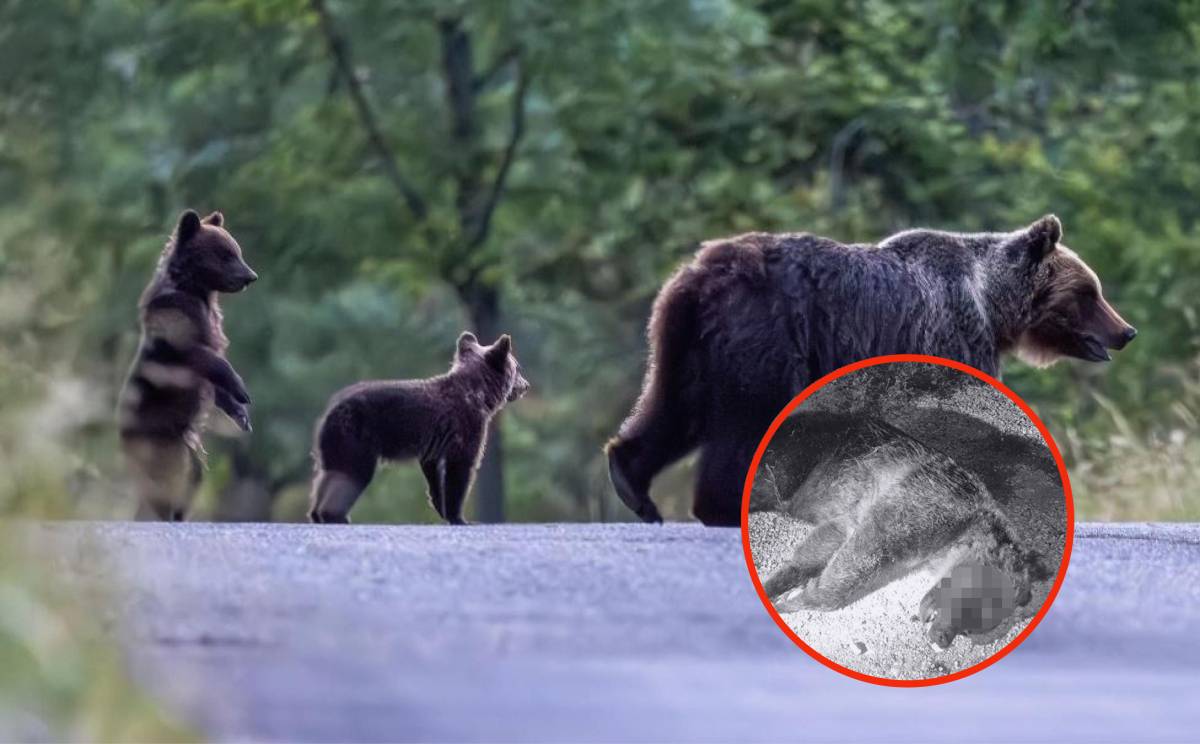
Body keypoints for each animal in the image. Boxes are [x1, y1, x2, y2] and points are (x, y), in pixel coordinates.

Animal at [119, 208, 258, 523]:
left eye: (237, 251)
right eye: (226, 254)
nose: (251, 276)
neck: (196, 290)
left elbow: (214, 380)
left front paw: (241, 414)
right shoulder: (177, 323)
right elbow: (205, 358)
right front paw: (241, 389)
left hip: (187, 450)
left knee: (191, 477)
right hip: (158, 441)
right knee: (163, 481)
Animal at [309, 331, 530, 523]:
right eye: (518, 368)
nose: (526, 386)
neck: (480, 396)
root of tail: (330, 408)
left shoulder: (433, 446)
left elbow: (434, 475)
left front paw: (441, 509)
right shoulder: (465, 431)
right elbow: (459, 473)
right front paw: (458, 517)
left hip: (333, 445)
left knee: (326, 476)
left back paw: (317, 514)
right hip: (356, 437)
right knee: (351, 474)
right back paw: (335, 516)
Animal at [609, 212, 1132, 525]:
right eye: (1089, 292)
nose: (1126, 331)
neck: (992, 303)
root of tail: (699, 276)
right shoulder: (950, 331)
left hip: (686, 345)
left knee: (675, 408)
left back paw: (633, 484)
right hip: (763, 337)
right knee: (745, 420)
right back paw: (723, 506)